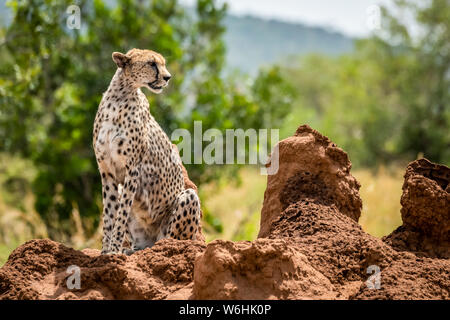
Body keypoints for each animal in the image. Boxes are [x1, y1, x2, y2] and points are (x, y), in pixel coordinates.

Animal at [93, 48, 200, 252]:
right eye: (151, 63)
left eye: (163, 63)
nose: (167, 77)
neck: (119, 96)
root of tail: (149, 243)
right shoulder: (107, 171)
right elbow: (109, 214)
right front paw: (105, 251)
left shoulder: (132, 169)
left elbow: (121, 214)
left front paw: (114, 250)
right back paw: (130, 250)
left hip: (187, 199)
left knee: (171, 240)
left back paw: (162, 247)